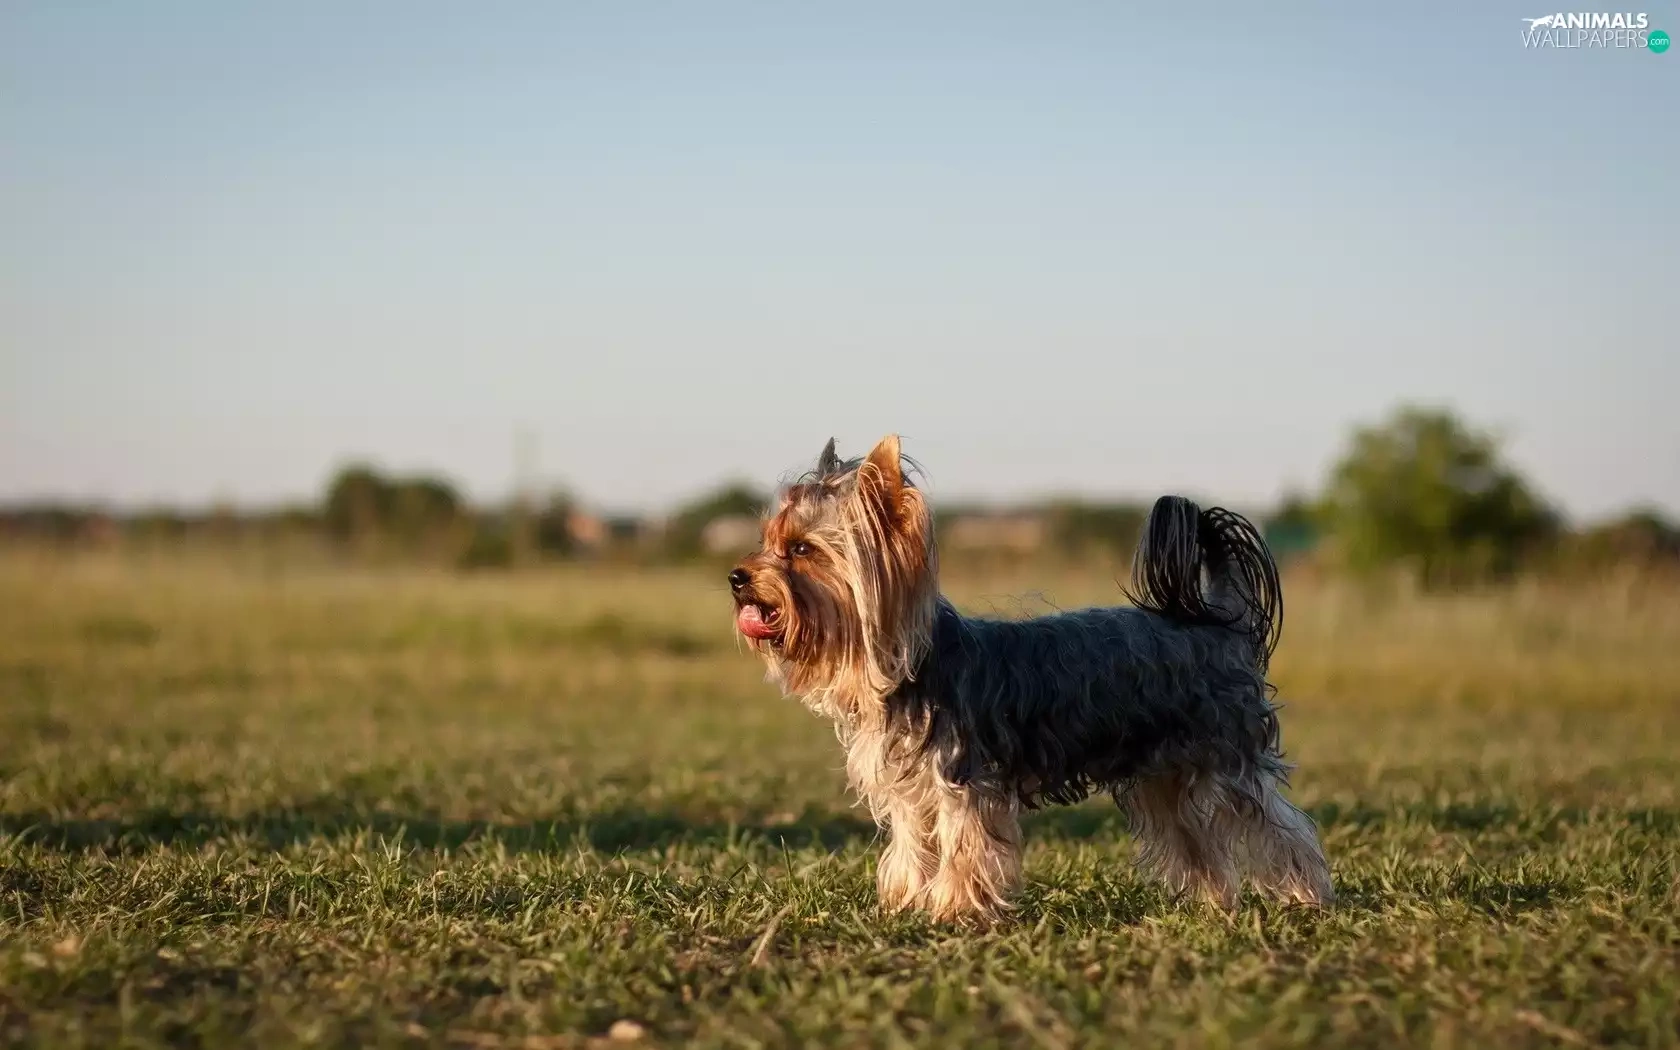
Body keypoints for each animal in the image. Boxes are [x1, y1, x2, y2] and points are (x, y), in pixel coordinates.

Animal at [728, 434, 1332, 921]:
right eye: (765, 542)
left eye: (801, 550)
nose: (736, 576)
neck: (909, 669)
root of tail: (1217, 625)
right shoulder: (910, 793)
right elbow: (913, 848)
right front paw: (906, 902)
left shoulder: (963, 782)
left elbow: (964, 846)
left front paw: (953, 911)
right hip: (1165, 774)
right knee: (1195, 838)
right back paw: (1214, 904)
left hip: (1226, 760)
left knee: (1278, 827)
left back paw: (1309, 896)